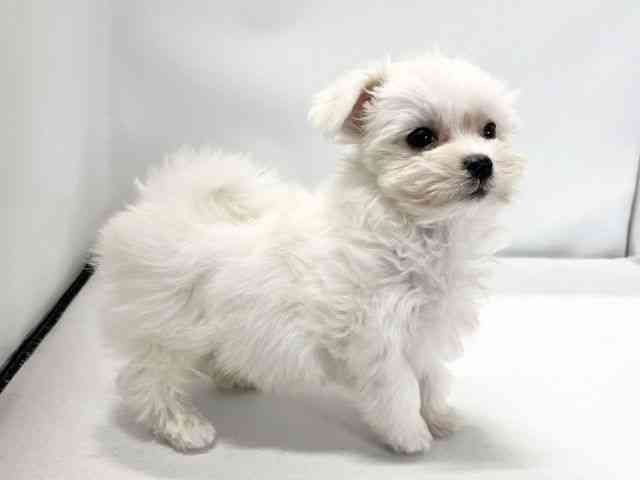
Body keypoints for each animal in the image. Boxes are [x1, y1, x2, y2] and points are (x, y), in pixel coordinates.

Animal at [94, 52, 524, 454]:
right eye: (421, 138)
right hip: (167, 327)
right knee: (147, 378)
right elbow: (399, 389)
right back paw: (183, 427)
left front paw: (438, 417)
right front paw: (410, 435)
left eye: (490, 130)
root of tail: (163, 198)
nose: (482, 163)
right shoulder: (375, 337)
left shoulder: (425, 331)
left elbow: (432, 379)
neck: (417, 229)